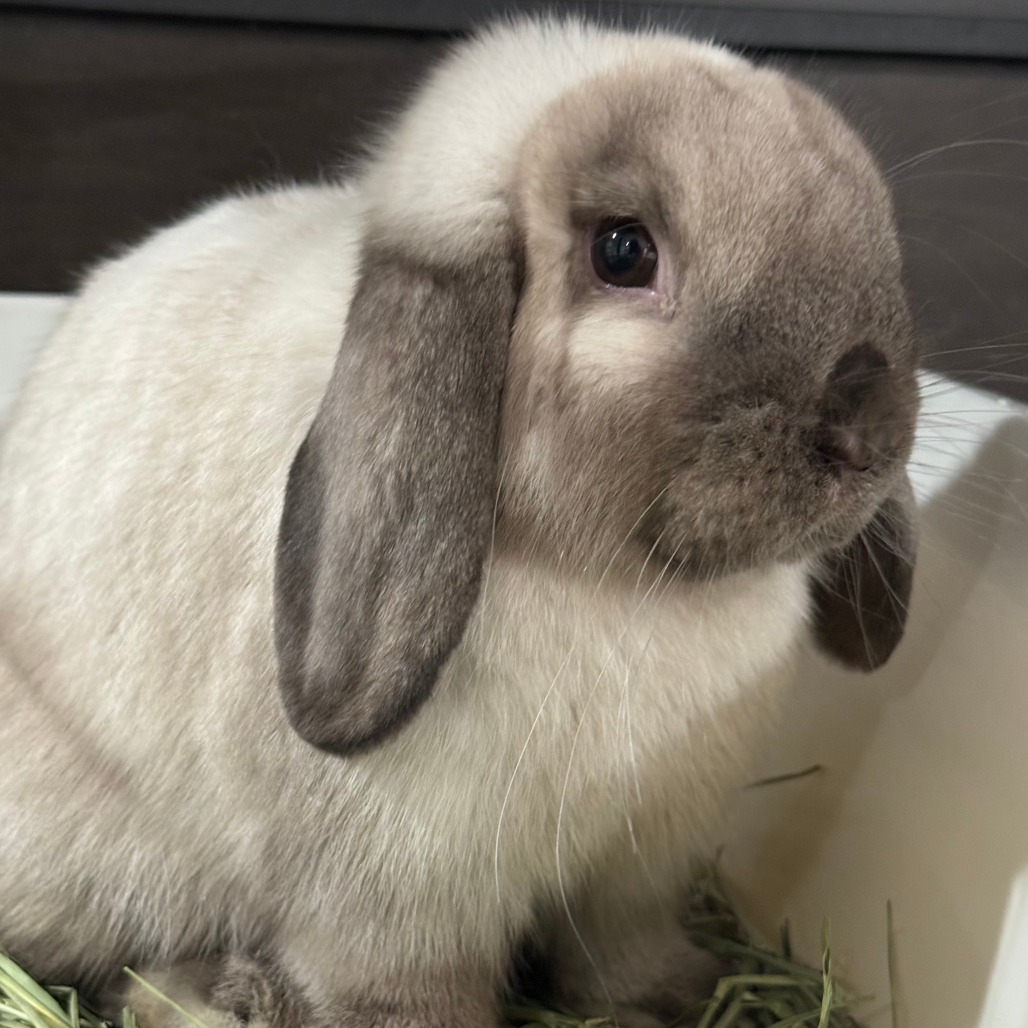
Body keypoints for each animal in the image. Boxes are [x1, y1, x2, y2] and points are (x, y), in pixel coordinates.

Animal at [0, 17, 919, 1028]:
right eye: (623, 252)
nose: (866, 430)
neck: (617, 585)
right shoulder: (398, 912)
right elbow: (408, 992)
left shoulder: (638, 867)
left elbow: (621, 956)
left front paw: (684, 994)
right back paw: (226, 997)